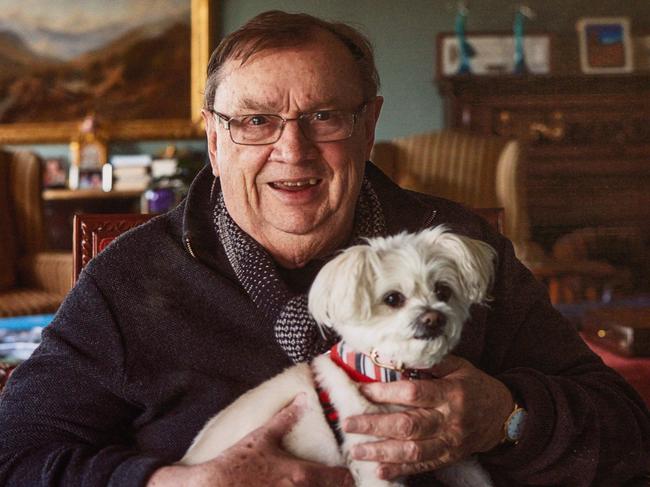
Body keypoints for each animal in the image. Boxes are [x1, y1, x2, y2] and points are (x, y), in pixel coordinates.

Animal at [182, 227, 496, 486]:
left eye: (443, 291)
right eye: (392, 299)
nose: (434, 319)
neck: (387, 371)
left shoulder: (447, 448)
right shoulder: (375, 463)